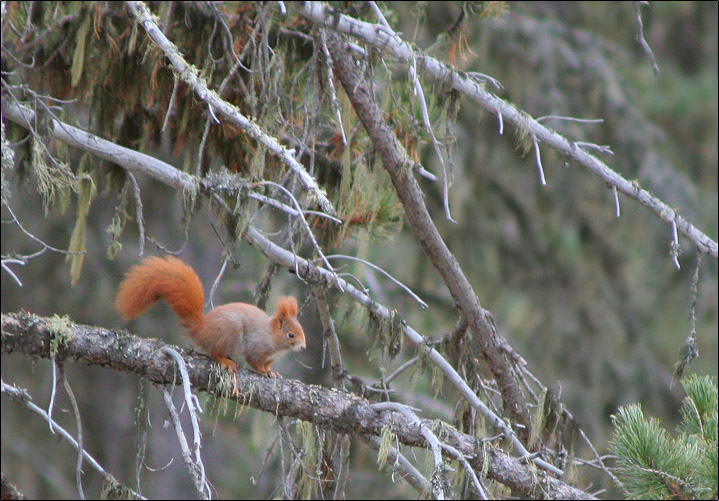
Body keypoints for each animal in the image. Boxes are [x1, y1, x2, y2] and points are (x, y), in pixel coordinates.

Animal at [115, 256, 306, 376]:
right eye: (291, 334)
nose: (303, 347)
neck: (275, 340)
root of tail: (201, 328)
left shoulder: (270, 357)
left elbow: (267, 365)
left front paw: (272, 372)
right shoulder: (256, 347)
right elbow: (254, 361)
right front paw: (263, 371)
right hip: (230, 332)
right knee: (214, 352)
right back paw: (227, 361)